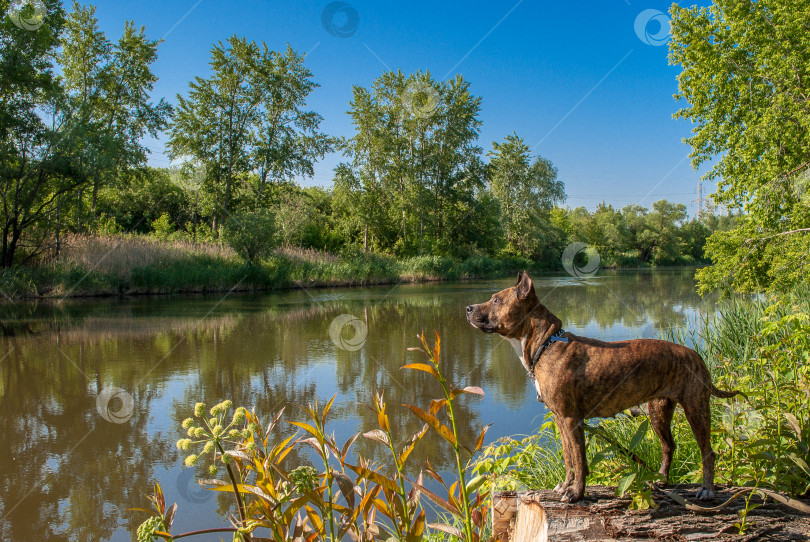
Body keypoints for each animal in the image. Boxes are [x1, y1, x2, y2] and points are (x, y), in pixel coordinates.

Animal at [464, 274, 736, 504]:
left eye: (496, 299)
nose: (468, 308)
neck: (546, 344)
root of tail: (696, 355)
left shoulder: (572, 420)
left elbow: (579, 460)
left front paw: (576, 493)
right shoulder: (561, 420)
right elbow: (569, 458)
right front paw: (565, 486)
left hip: (695, 409)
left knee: (708, 452)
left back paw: (707, 489)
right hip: (659, 410)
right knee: (669, 446)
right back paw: (662, 479)